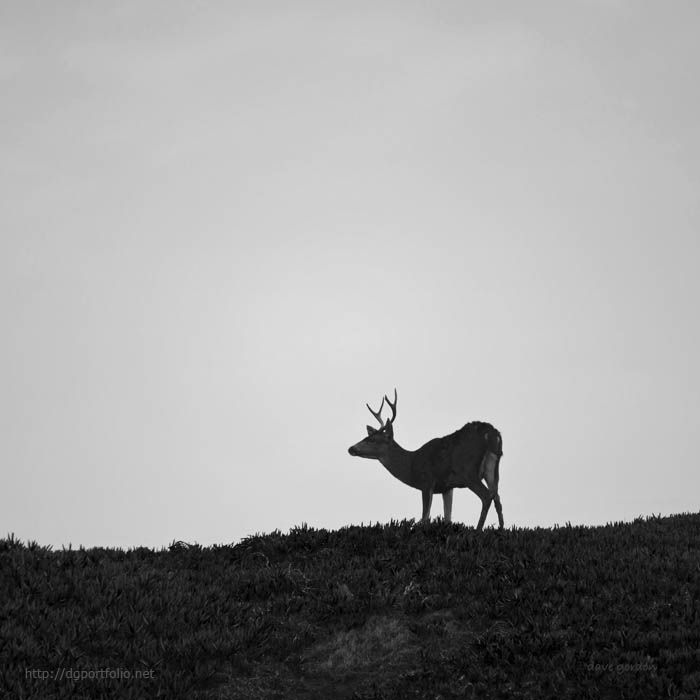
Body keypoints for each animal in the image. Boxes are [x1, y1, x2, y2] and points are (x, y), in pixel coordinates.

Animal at [348, 388, 504, 532]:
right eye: (366, 436)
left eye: (373, 440)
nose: (351, 448)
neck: (411, 465)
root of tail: (493, 434)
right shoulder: (447, 487)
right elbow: (447, 517)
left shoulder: (427, 481)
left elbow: (425, 517)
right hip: (493, 468)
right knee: (497, 497)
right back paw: (501, 530)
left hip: (468, 470)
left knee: (487, 496)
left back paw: (478, 531)